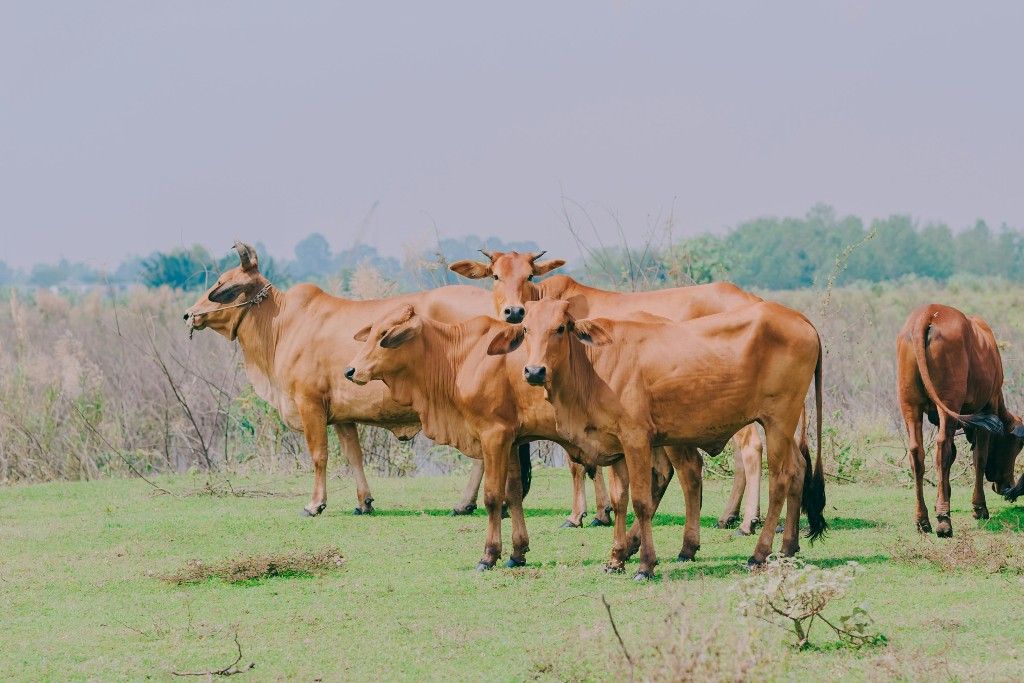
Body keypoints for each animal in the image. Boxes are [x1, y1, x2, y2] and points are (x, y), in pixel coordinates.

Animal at [185, 242, 507, 516]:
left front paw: (314, 504)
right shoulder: (341, 414)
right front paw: (364, 502)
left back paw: (476, 504)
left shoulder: (309, 403)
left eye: (221, 283)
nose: (189, 314)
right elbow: (354, 456)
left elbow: (319, 455)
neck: (283, 324)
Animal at [344, 307, 704, 573]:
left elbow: (492, 496)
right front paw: (518, 552)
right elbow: (513, 493)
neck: (458, 355)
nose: (350, 371)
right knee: (669, 476)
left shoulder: (494, 434)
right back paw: (640, 546)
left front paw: (489, 555)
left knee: (685, 475)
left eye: (384, 335)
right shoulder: (515, 440)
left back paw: (680, 548)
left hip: (670, 435)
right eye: (372, 332)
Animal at [448, 248, 774, 536]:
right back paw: (731, 516)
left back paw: (747, 522)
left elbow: (579, 464)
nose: (514, 311)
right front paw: (601, 513)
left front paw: (578, 515)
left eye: (529, 275)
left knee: (751, 449)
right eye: (496, 275)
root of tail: (752, 299)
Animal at [487, 299, 823, 577]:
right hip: (785, 427)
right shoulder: (616, 445)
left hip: (778, 422)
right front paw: (616, 559)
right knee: (797, 472)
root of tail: (801, 318)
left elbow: (641, 501)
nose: (534, 371)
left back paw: (759, 554)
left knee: (780, 480)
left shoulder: (636, 439)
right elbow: (619, 500)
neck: (594, 366)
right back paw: (788, 548)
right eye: (526, 329)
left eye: (560, 328)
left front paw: (645, 565)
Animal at [892, 301, 1024, 536]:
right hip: (949, 403)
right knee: (942, 448)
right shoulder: (987, 408)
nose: (1007, 486)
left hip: (910, 405)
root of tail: (928, 313)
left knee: (917, 452)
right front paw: (979, 508)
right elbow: (979, 458)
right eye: (1017, 445)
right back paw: (944, 521)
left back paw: (922, 519)